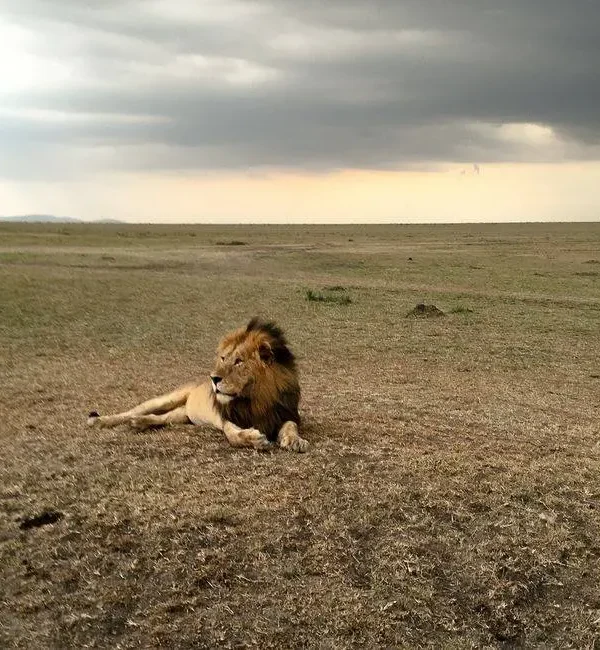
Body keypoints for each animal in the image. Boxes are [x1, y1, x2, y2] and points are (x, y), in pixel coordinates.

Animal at [87, 318, 309, 452]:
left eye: (239, 361)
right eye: (223, 358)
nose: (213, 378)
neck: (257, 398)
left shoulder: (284, 413)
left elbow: (291, 426)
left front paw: (294, 440)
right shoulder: (227, 418)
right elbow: (233, 435)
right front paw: (253, 438)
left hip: (182, 415)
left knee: (161, 418)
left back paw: (139, 423)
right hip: (167, 398)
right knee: (131, 411)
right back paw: (100, 421)